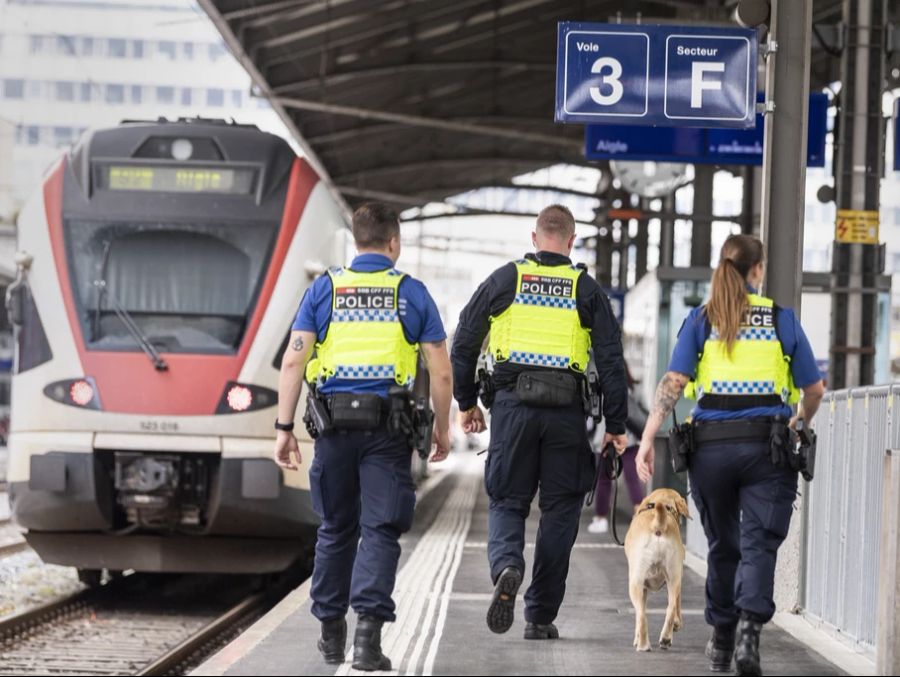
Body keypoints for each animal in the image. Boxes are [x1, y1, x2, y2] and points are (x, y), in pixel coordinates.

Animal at [624, 486, 688, 648]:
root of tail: (658, 525)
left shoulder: (643, 588)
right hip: (673, 579)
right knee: (670, 608)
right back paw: (665, 638)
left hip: (635, 583)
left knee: (641, 615)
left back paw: (643, 645)